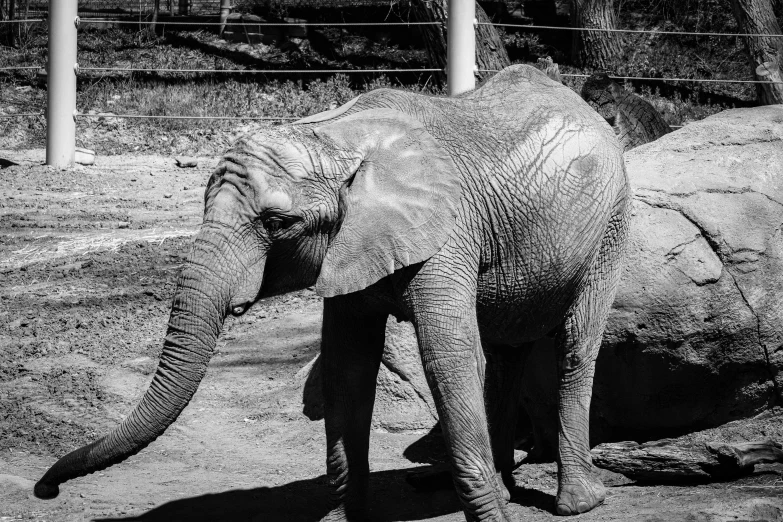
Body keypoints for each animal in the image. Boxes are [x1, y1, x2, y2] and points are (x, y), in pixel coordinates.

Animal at [35, 66, 632, 520]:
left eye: (277, 223)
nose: (46, 488)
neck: (335, 138)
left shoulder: (447, 235)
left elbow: (449, 360)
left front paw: (490, 518)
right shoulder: (352, 248)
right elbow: (348, 368)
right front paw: (345, 520)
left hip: (610, 226)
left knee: (575, 345)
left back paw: (579, 503)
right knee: (510, 349)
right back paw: (512, 488)